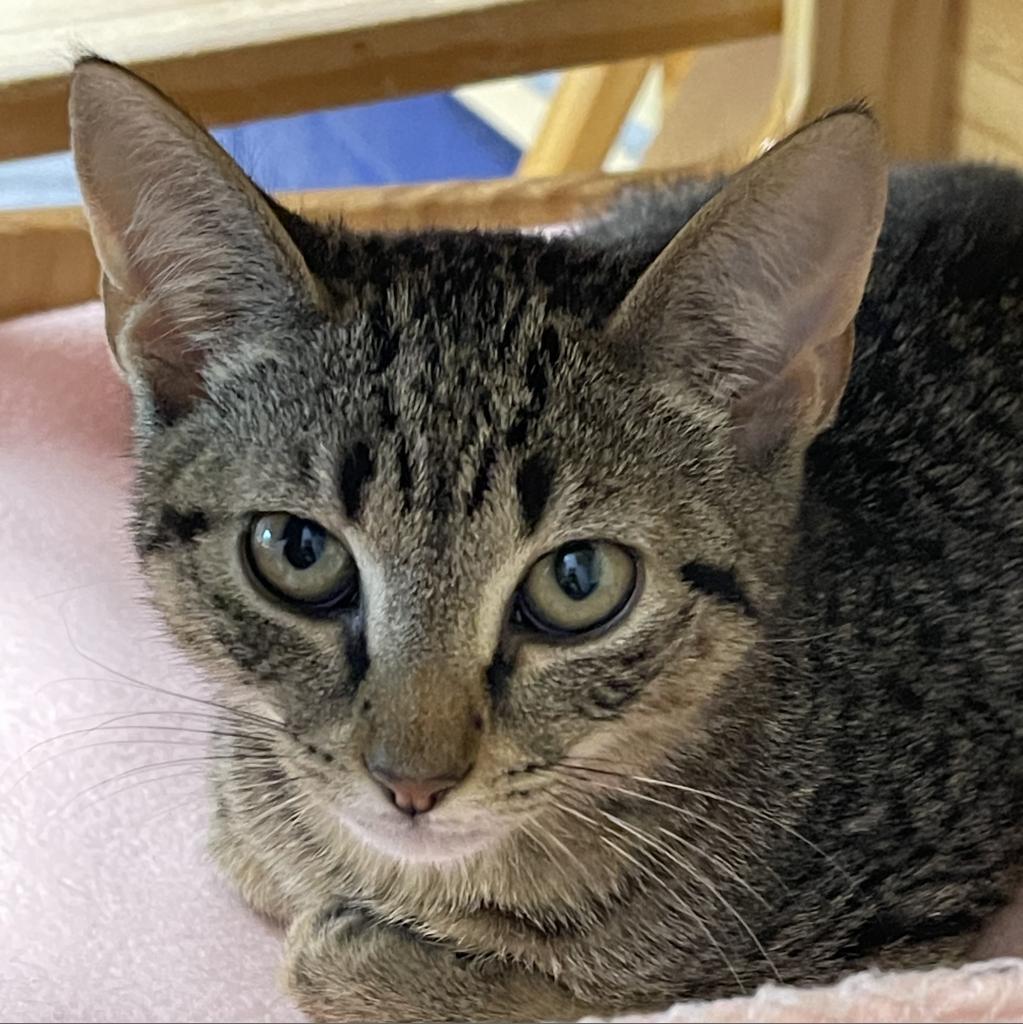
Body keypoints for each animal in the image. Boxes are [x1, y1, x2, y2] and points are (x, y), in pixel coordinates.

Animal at [70, 58, 1023, 1024]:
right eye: (297, 551)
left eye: (578, 579)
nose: (411, 785)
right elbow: (256, 848)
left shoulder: (888, 934)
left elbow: (564, 990)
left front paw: (381, 959)